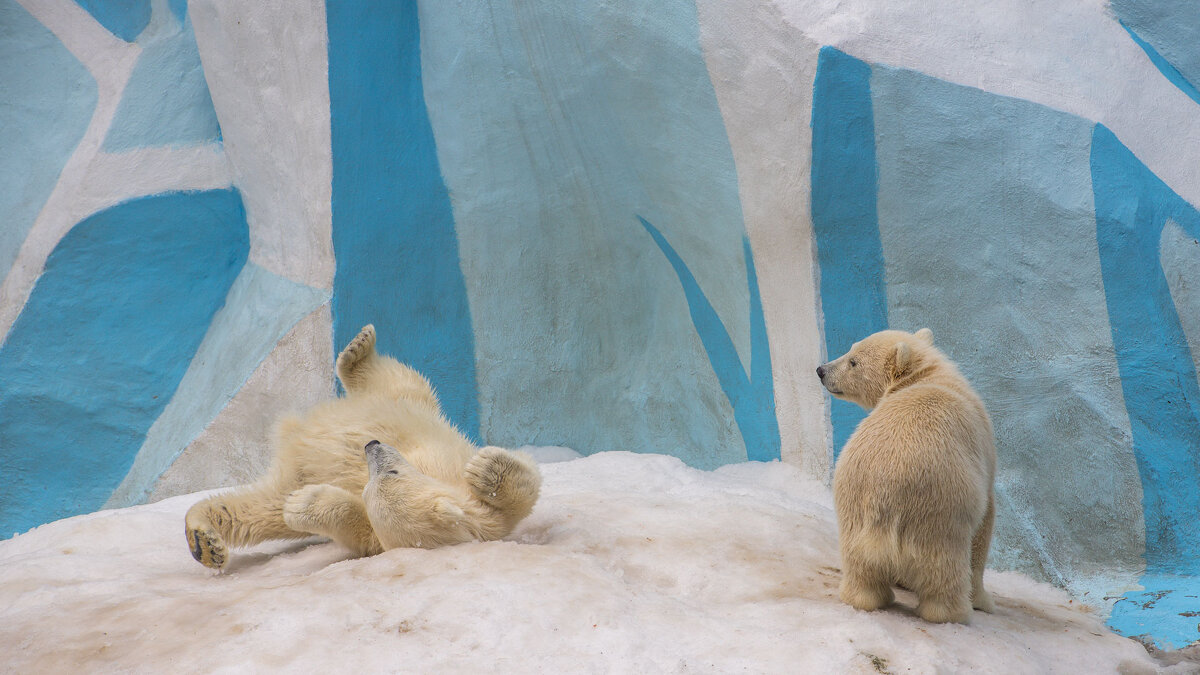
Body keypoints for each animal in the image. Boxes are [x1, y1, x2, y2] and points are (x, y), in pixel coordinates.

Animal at [184, 324, 542, 564]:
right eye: (374, 478)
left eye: (388, 475)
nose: (371, 445)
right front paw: (484, 468)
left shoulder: (479, 520)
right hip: (400, 407)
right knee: (402, 383)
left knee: (256, 510)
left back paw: (206, 541)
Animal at [816, 326, 993, 619]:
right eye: (852, 352)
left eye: (853, 360)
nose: (821, 370)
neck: (925, 374)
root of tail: (882, 495)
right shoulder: (984, 452)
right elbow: (984, 524)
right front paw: (983, 600)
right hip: (938, 514)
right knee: (944, 570)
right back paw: (953, 611)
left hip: (852, 507)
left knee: (860, 566)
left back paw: (864, 596)